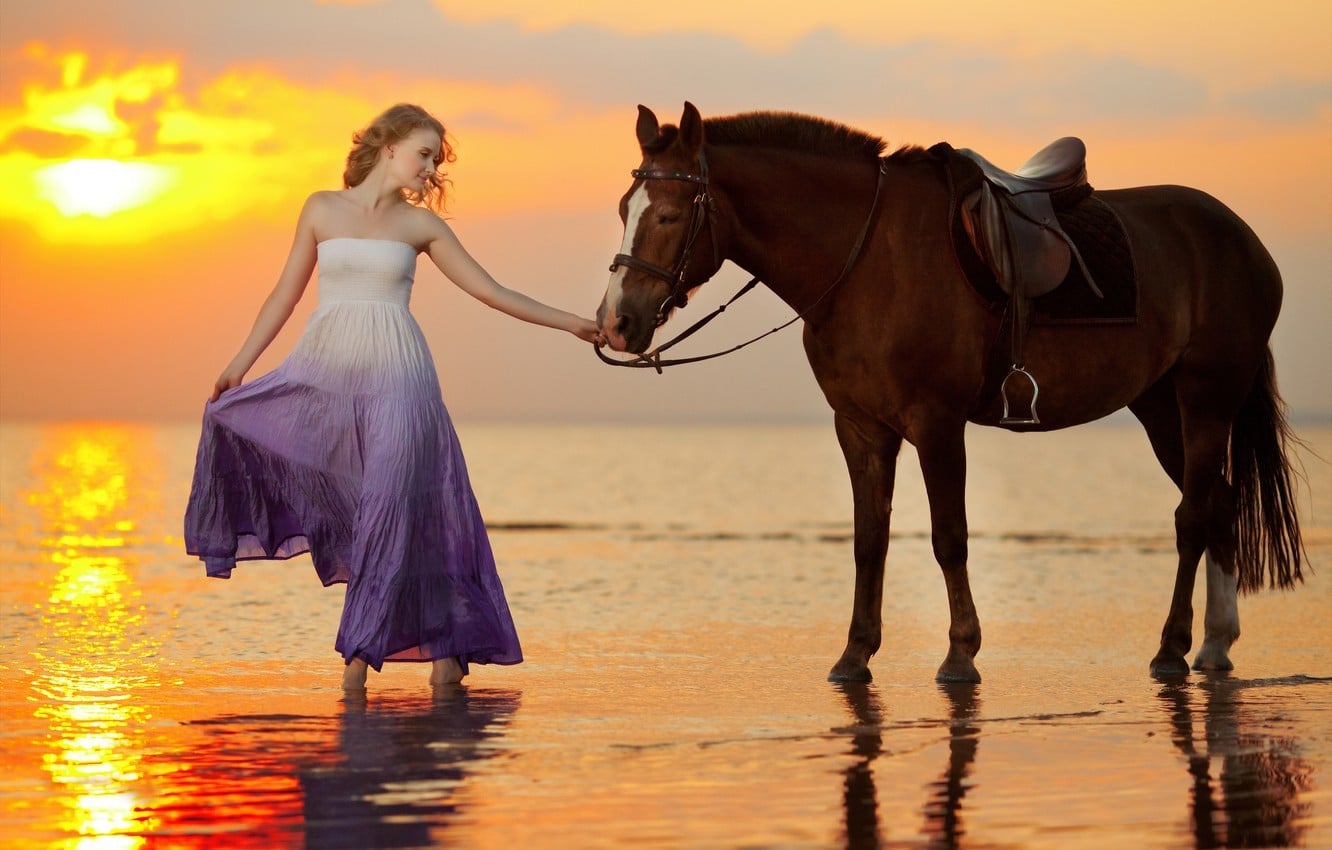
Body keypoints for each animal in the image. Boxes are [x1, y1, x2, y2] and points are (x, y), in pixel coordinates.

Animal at [595, 102, 1305, 684]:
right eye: (625, 210)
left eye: (669, 213)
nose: (617, 322)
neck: (866, 258)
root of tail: (1242, 237)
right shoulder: (861, 427)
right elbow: (869, 541)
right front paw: (855, 654)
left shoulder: (936, 424)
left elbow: (948, 537)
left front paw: (961, 653)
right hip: (1160, 407)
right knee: (1218, 505)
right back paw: (1215, 644)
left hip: (1207, 397)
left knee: (1193, 517)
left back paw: (1172, 647)